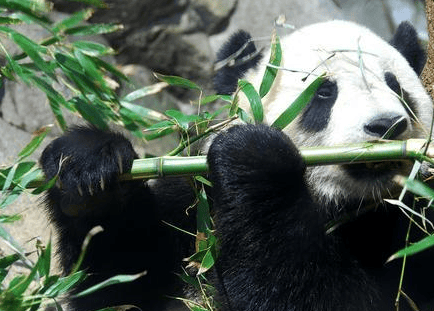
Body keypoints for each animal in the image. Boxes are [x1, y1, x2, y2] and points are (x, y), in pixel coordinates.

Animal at [40, 20, 434, 311]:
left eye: (397, 88)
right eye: (324, 92)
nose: (386, 126)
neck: (346, 205)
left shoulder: (415, 225)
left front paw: (256, 158)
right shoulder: (193, 210)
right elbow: (124, 283)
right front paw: (87, 171)